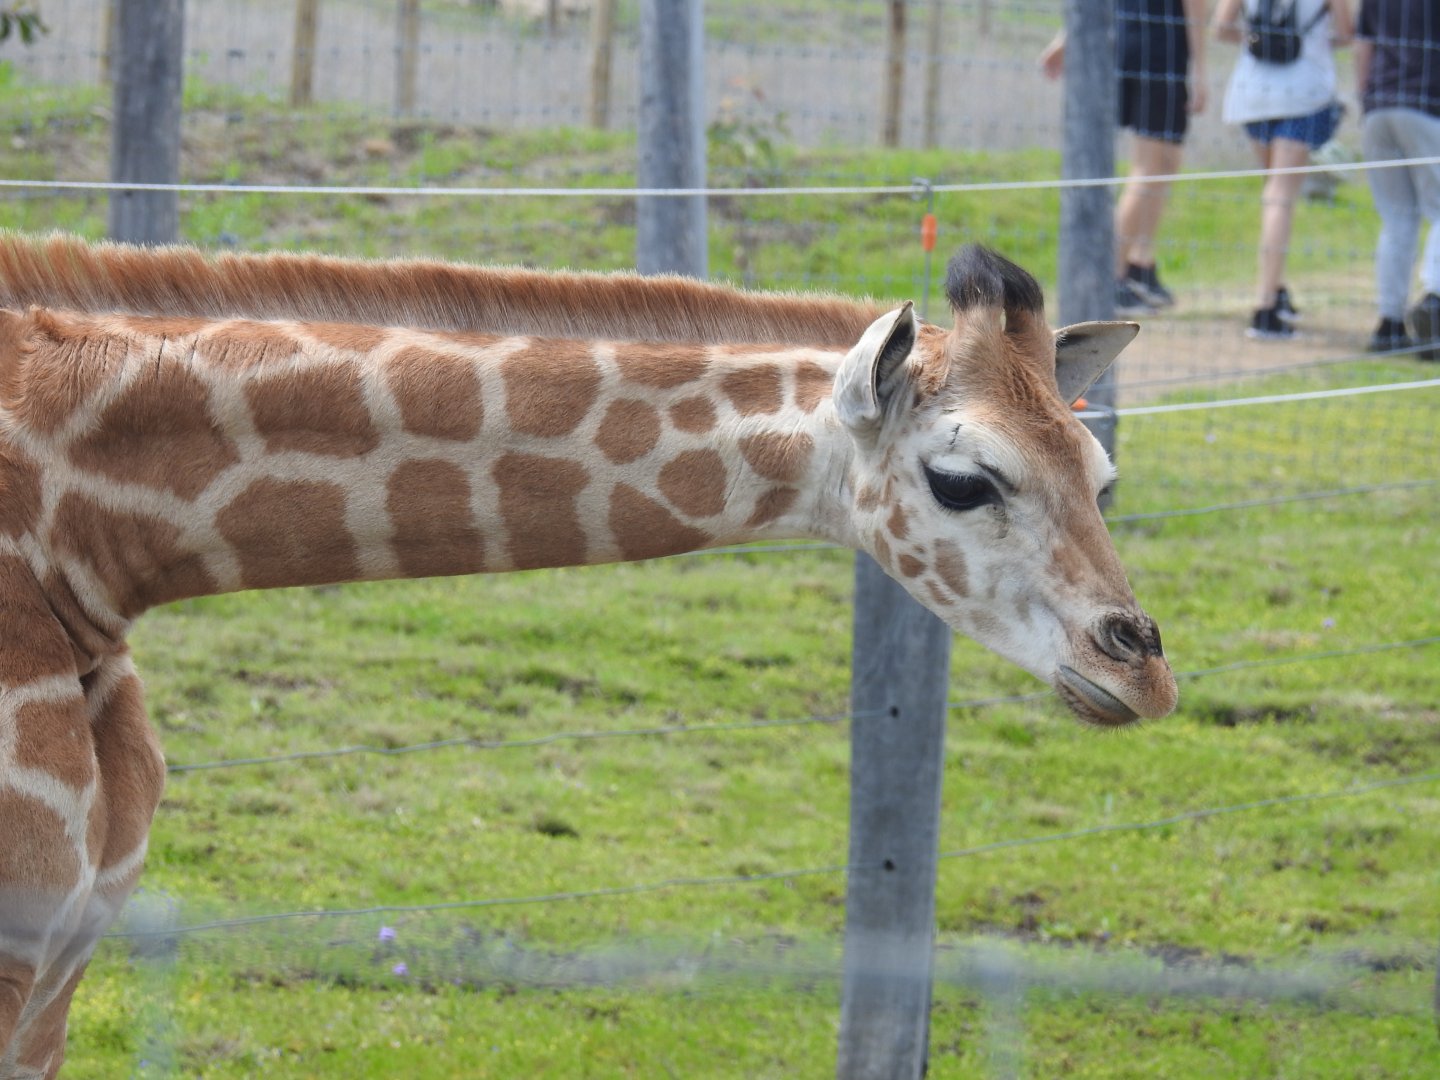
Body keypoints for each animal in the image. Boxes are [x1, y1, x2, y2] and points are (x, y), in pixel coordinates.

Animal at [0, 233, 1176, 1076]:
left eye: (1102, 473)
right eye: (963, 481)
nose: (1144, 671)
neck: (83, 545)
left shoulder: (65, 957)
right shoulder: (21, 950)